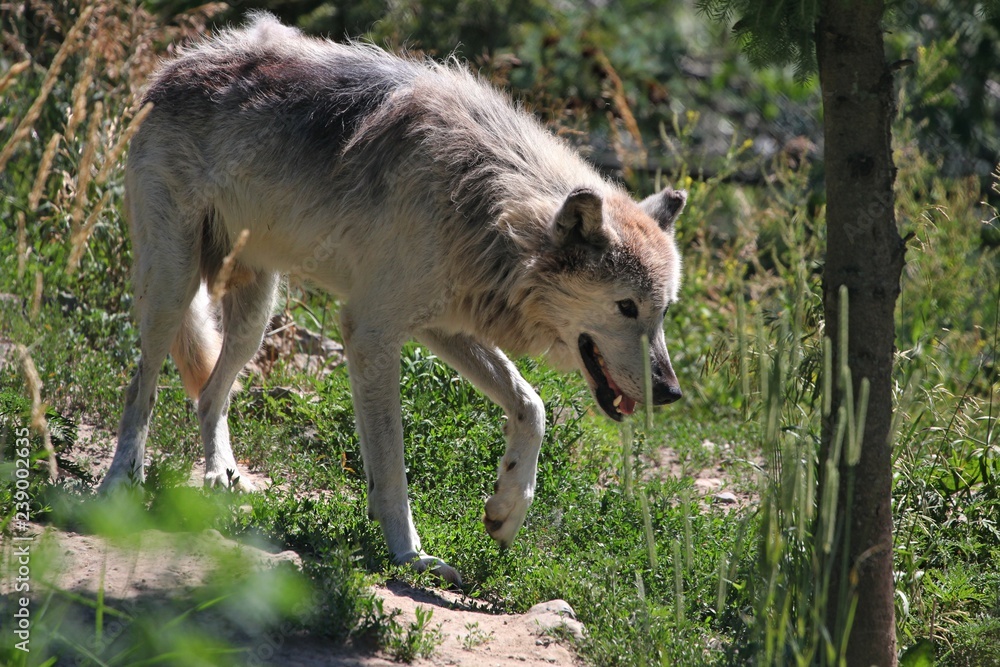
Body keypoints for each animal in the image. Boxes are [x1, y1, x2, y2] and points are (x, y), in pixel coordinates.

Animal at [100, 13, 687, 585]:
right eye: (626, 307)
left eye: (662, 313)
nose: (671, 392)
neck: (486, 205)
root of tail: (175, 66)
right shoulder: (371, 333)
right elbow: (392, 465)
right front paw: (410, 556)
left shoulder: (443, 327)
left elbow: (531, 404)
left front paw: (507, 508)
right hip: (174, 287)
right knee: (141, 387)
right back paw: (120, 481)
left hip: (254, 318)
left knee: (208, 395)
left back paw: (222, 474)